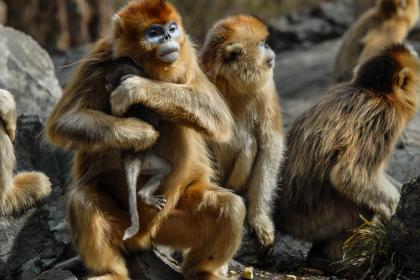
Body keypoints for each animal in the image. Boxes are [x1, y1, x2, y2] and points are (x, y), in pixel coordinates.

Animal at [105, 57, 171, 241]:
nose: (107, 82)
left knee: (164, 168)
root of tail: (131, 157)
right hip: (146, 160)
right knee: (166, 167)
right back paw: (145, 196)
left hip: (146, 163)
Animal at [201, 14, 286, 247]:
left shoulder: (266, 89)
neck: (232, 86)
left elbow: (270, 145)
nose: (270, 47)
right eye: (262, 44)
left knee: (250, 142)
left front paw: (259, 219)